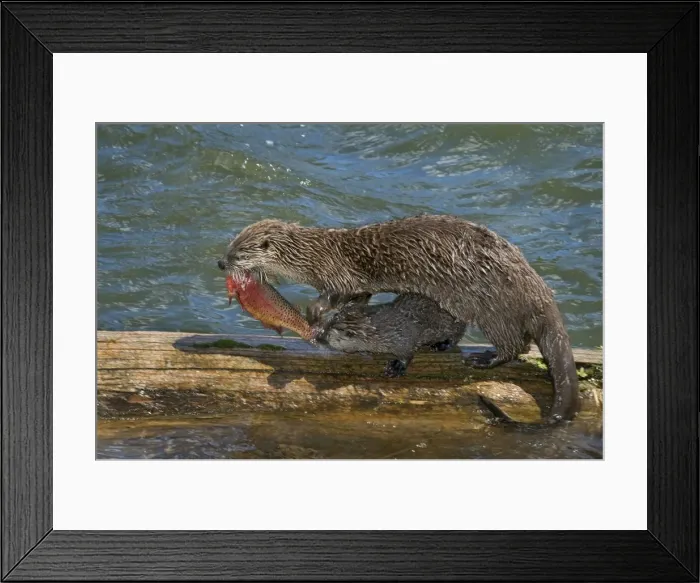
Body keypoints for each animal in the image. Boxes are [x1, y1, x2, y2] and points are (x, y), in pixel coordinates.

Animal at [308, 293, 466, 377]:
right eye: (326, 324)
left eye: (328, 334)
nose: (317, 337)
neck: (382, 330)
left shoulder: (403, 338)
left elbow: (408, 353)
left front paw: (396, 367)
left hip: (451, 324)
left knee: (458, 333)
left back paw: (442, 344)